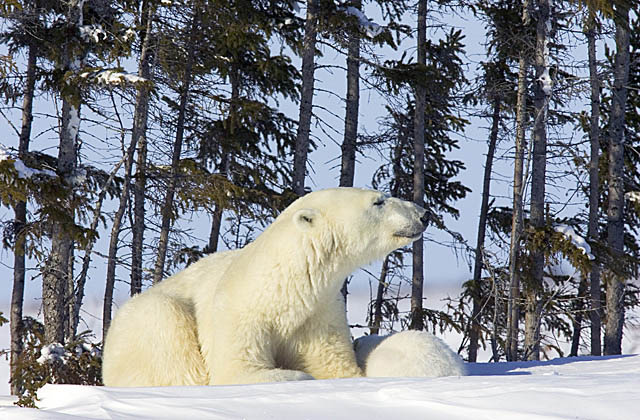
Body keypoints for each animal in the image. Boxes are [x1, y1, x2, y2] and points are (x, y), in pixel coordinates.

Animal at [102, 188, 430, 388]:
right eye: (379, 200)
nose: (424, 214)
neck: (283, 288)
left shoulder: (317, 315)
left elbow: (334, 366)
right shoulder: (238, 314)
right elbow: (237, 370)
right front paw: (296, 376)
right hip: (149, 324)